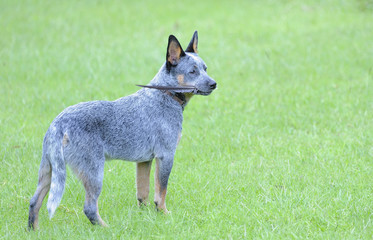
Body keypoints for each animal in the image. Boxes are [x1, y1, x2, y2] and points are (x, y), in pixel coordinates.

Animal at [27, 31, 217, 230]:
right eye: (193, 71)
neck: (165, 94)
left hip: (49, 171)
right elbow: (161, 193)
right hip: (94, 172)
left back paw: (35, 230)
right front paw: (164, 215)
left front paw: (145, 216)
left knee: (34, 202)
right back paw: (106, 228)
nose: (214, 83)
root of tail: (59, 124)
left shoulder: (144, 161)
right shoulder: (165, 156)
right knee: (89, 208)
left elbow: (143, 193)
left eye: (205, 68)